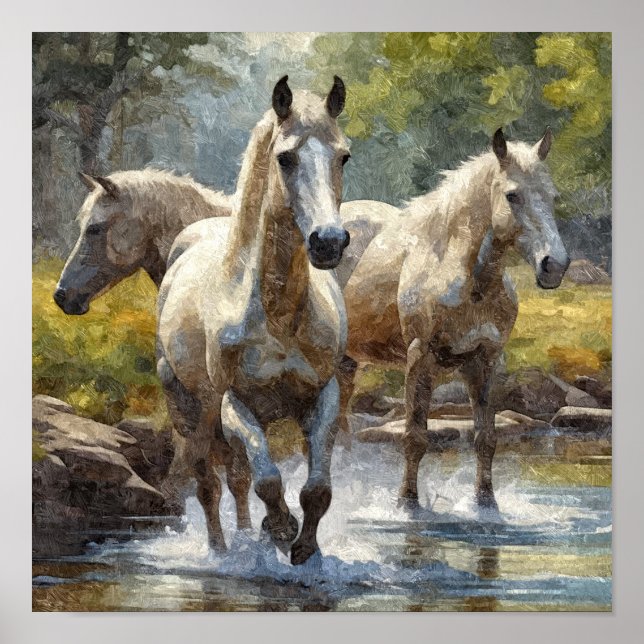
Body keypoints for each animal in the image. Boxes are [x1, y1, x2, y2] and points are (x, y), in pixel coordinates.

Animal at [157, 75, 351, 565]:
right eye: (285, 157)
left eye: (343, 155)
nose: (328, 242)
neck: (279, 317)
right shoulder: (236, 404)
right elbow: (268, 480)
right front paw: (280, 530)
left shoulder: (324, 397)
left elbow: (316, 489)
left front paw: (304, 548)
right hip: (190, 408)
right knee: (210, 484)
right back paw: (221, 550)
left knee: (238, 479)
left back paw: (247, 536)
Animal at [342, 128, 570, 510]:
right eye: (512, 195)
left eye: (551, 196)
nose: (554, 265)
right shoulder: (419, 358)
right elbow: (415, 437)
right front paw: (407, 504)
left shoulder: (486, 362)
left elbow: (485, 439)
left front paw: (485, 503)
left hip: (347, 363)